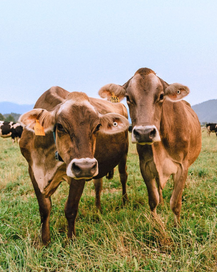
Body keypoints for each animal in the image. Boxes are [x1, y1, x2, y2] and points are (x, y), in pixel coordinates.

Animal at [18, 87, 129, 244]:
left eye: (97, 127)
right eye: (60, 126)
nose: (85, 166)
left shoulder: (79, 174)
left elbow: (70, 209)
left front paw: (70, 240)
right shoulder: (32, 170)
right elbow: (44, 208)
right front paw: (44, 242)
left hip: (120, 155)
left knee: (123, 176)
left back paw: (125, 201)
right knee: (98, 185)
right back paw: (98, 209)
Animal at [98, 67, 202, 225]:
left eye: (161, 96)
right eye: (128, 97)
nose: (144, 133)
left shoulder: (182, 167)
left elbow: (176, 203)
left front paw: (177, 227)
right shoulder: (145, 166)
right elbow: (153, 200)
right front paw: (155, 224)